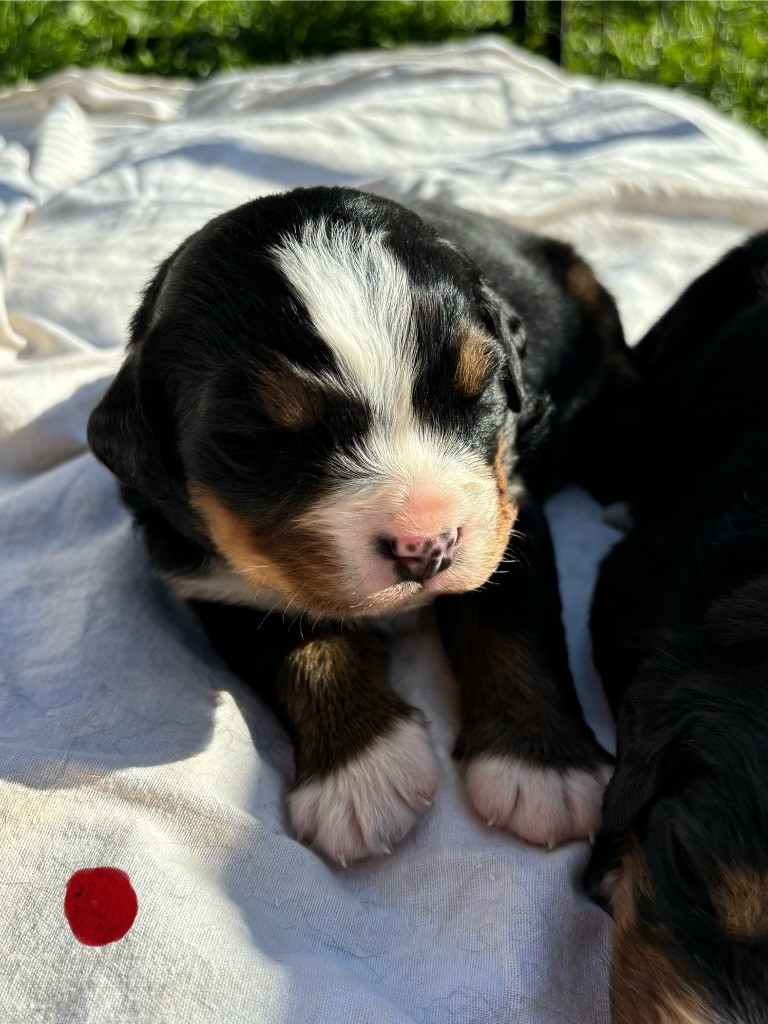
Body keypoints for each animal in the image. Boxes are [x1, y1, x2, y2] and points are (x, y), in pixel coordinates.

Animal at [88, 186, 626, 864]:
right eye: (252, 442)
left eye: (478, 393)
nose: (426, 546)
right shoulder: (218, 582)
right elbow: (307, 653)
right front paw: (362, 774)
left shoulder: (508, 507)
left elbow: (517, 628)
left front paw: (542, 769)